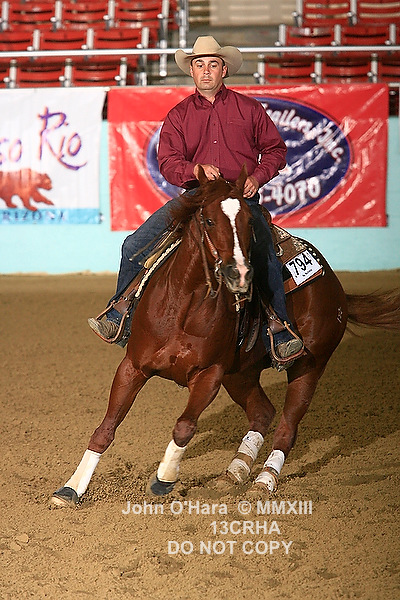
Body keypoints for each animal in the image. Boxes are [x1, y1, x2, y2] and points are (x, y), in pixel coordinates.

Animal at [51, 166, 400, 507]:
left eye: (247, 222)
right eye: (208, 220)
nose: (239, 273)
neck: (182, 305)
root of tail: (337, 288)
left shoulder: (209, 375)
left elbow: (184, 426)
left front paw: (163, 480)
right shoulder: (133, 367)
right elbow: (106, 428)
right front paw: (70, 490)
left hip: (309, 366)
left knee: (287, 427)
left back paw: (263, 482)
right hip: (241, 373)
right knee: (262, 413)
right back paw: (233, 474)